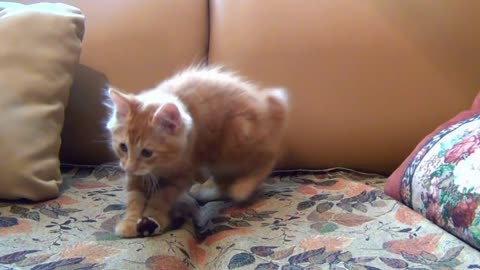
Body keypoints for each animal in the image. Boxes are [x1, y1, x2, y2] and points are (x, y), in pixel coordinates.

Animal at [105, 66, 288, 237]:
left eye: (147, 152)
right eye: (123, 147)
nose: (128, 167)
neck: (161, 166)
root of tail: (267, 106)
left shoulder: (181, 174)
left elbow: (160, 199)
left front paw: (154, 217)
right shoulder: (135, 177)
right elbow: (134, 198)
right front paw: (130, 222)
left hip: (233, 144)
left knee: (268, 157)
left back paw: (244, 186)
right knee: (223, 184)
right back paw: (204, 192)